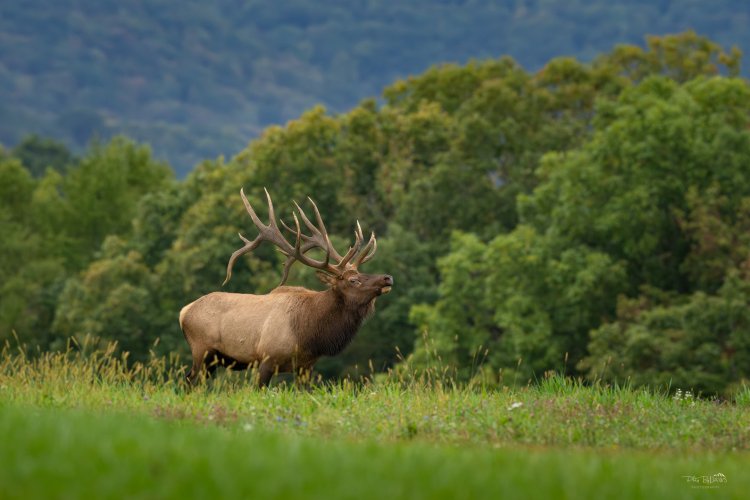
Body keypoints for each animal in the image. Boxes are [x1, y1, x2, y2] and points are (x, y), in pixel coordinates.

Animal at [181, 188, 394, 386]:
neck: (309, 334)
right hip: (202, 351)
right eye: (353, 280)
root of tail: (184, 312)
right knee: (189, 381)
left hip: (212, 362)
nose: (387, 278)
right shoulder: (267, 359)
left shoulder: (305, 366)